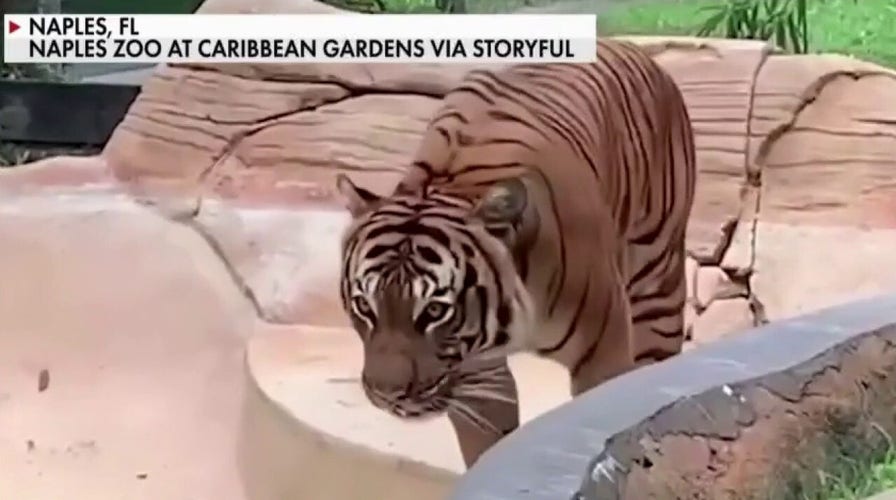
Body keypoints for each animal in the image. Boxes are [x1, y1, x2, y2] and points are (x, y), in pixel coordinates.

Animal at [335, 38, 696, 469]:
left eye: (435, 311)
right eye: (364, 305)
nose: (388, 397)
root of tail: (634, 48)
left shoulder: (602, 352)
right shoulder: (476, 375)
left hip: (658, 292)